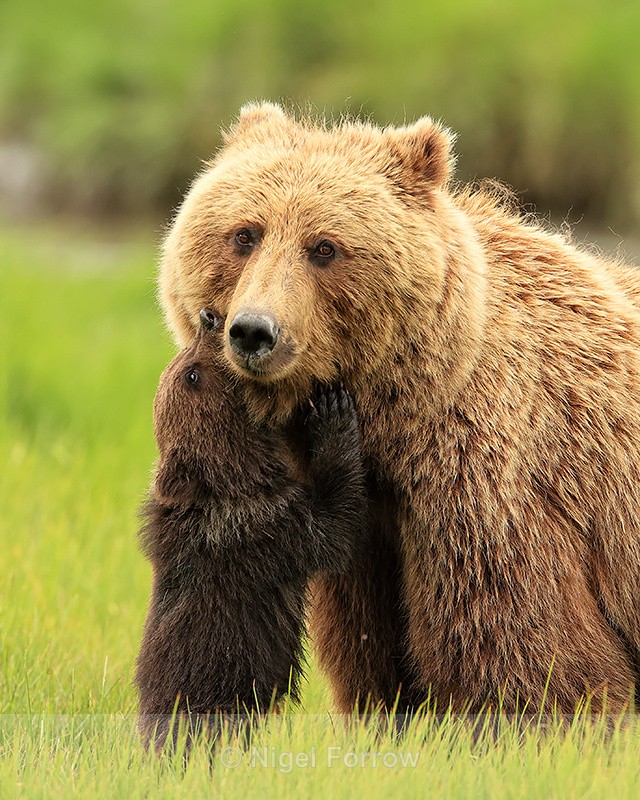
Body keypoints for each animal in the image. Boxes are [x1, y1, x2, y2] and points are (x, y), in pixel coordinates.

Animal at [135, 307, 366, 746]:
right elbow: (335, 527)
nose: (210, 317)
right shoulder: (266, 528)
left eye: (183, 366)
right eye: (192, 374)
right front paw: (333, 414)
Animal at [157, 102, 640, 716]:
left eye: (324, 247)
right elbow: (369, 650)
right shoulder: (368, 536)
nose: (253, 331)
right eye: (245, 233)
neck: (398, 426)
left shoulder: (485, 485)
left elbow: (524, 647)